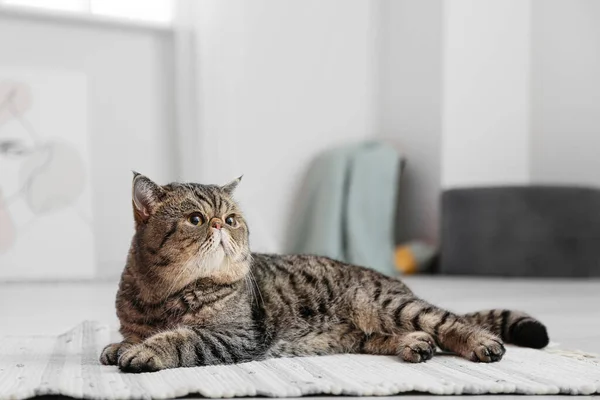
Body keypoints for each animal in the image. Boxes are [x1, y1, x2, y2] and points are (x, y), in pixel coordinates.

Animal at [99, 173, 548, 374]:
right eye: (195, 219)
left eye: (231, 219)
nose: (218, 225)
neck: (165, 295)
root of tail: (394, 281)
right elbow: (128, 336)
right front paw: (118, 346)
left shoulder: (237, 335)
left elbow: (183, 338)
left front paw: (143, 351)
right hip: (368, 330)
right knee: (400, 336)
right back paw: (416, 345)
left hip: (390, 304)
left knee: (450, 322)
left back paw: (480, 343)